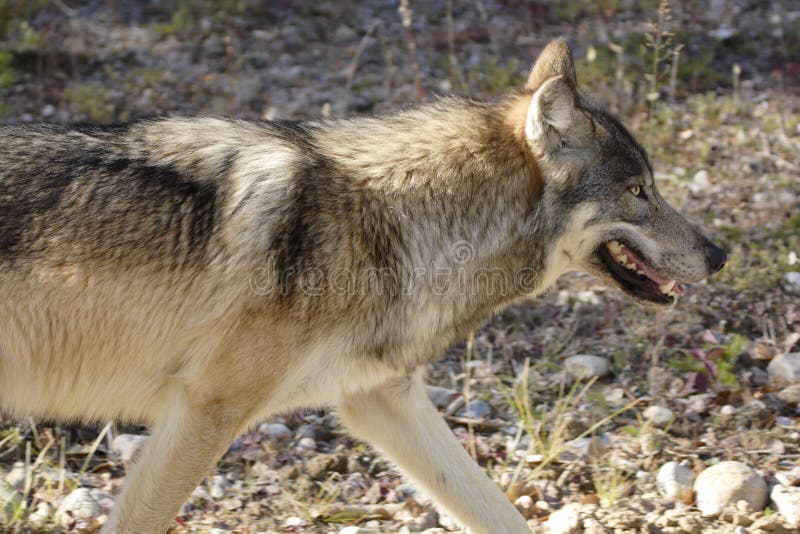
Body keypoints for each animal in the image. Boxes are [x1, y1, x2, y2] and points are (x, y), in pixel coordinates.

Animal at [0, 39, 724, 532]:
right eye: (639, 192)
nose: (720, 254)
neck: (395, 221)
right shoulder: (204, 413)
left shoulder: (380, 399)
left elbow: (496, 510)